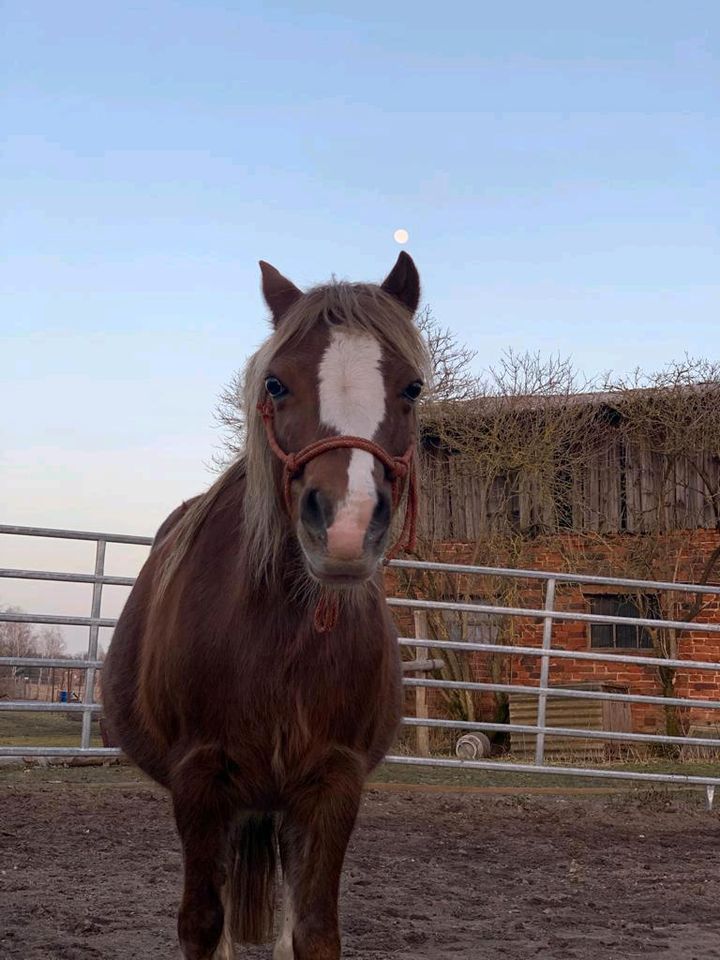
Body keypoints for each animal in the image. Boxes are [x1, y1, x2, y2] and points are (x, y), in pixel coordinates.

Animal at [100, 251, 428, 956]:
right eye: (276, 384)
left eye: (412, 388)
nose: (345, 526)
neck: (280, 634)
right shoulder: (200, 780)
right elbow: (203, 923)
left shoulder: (334, 782)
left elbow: (313, 930)